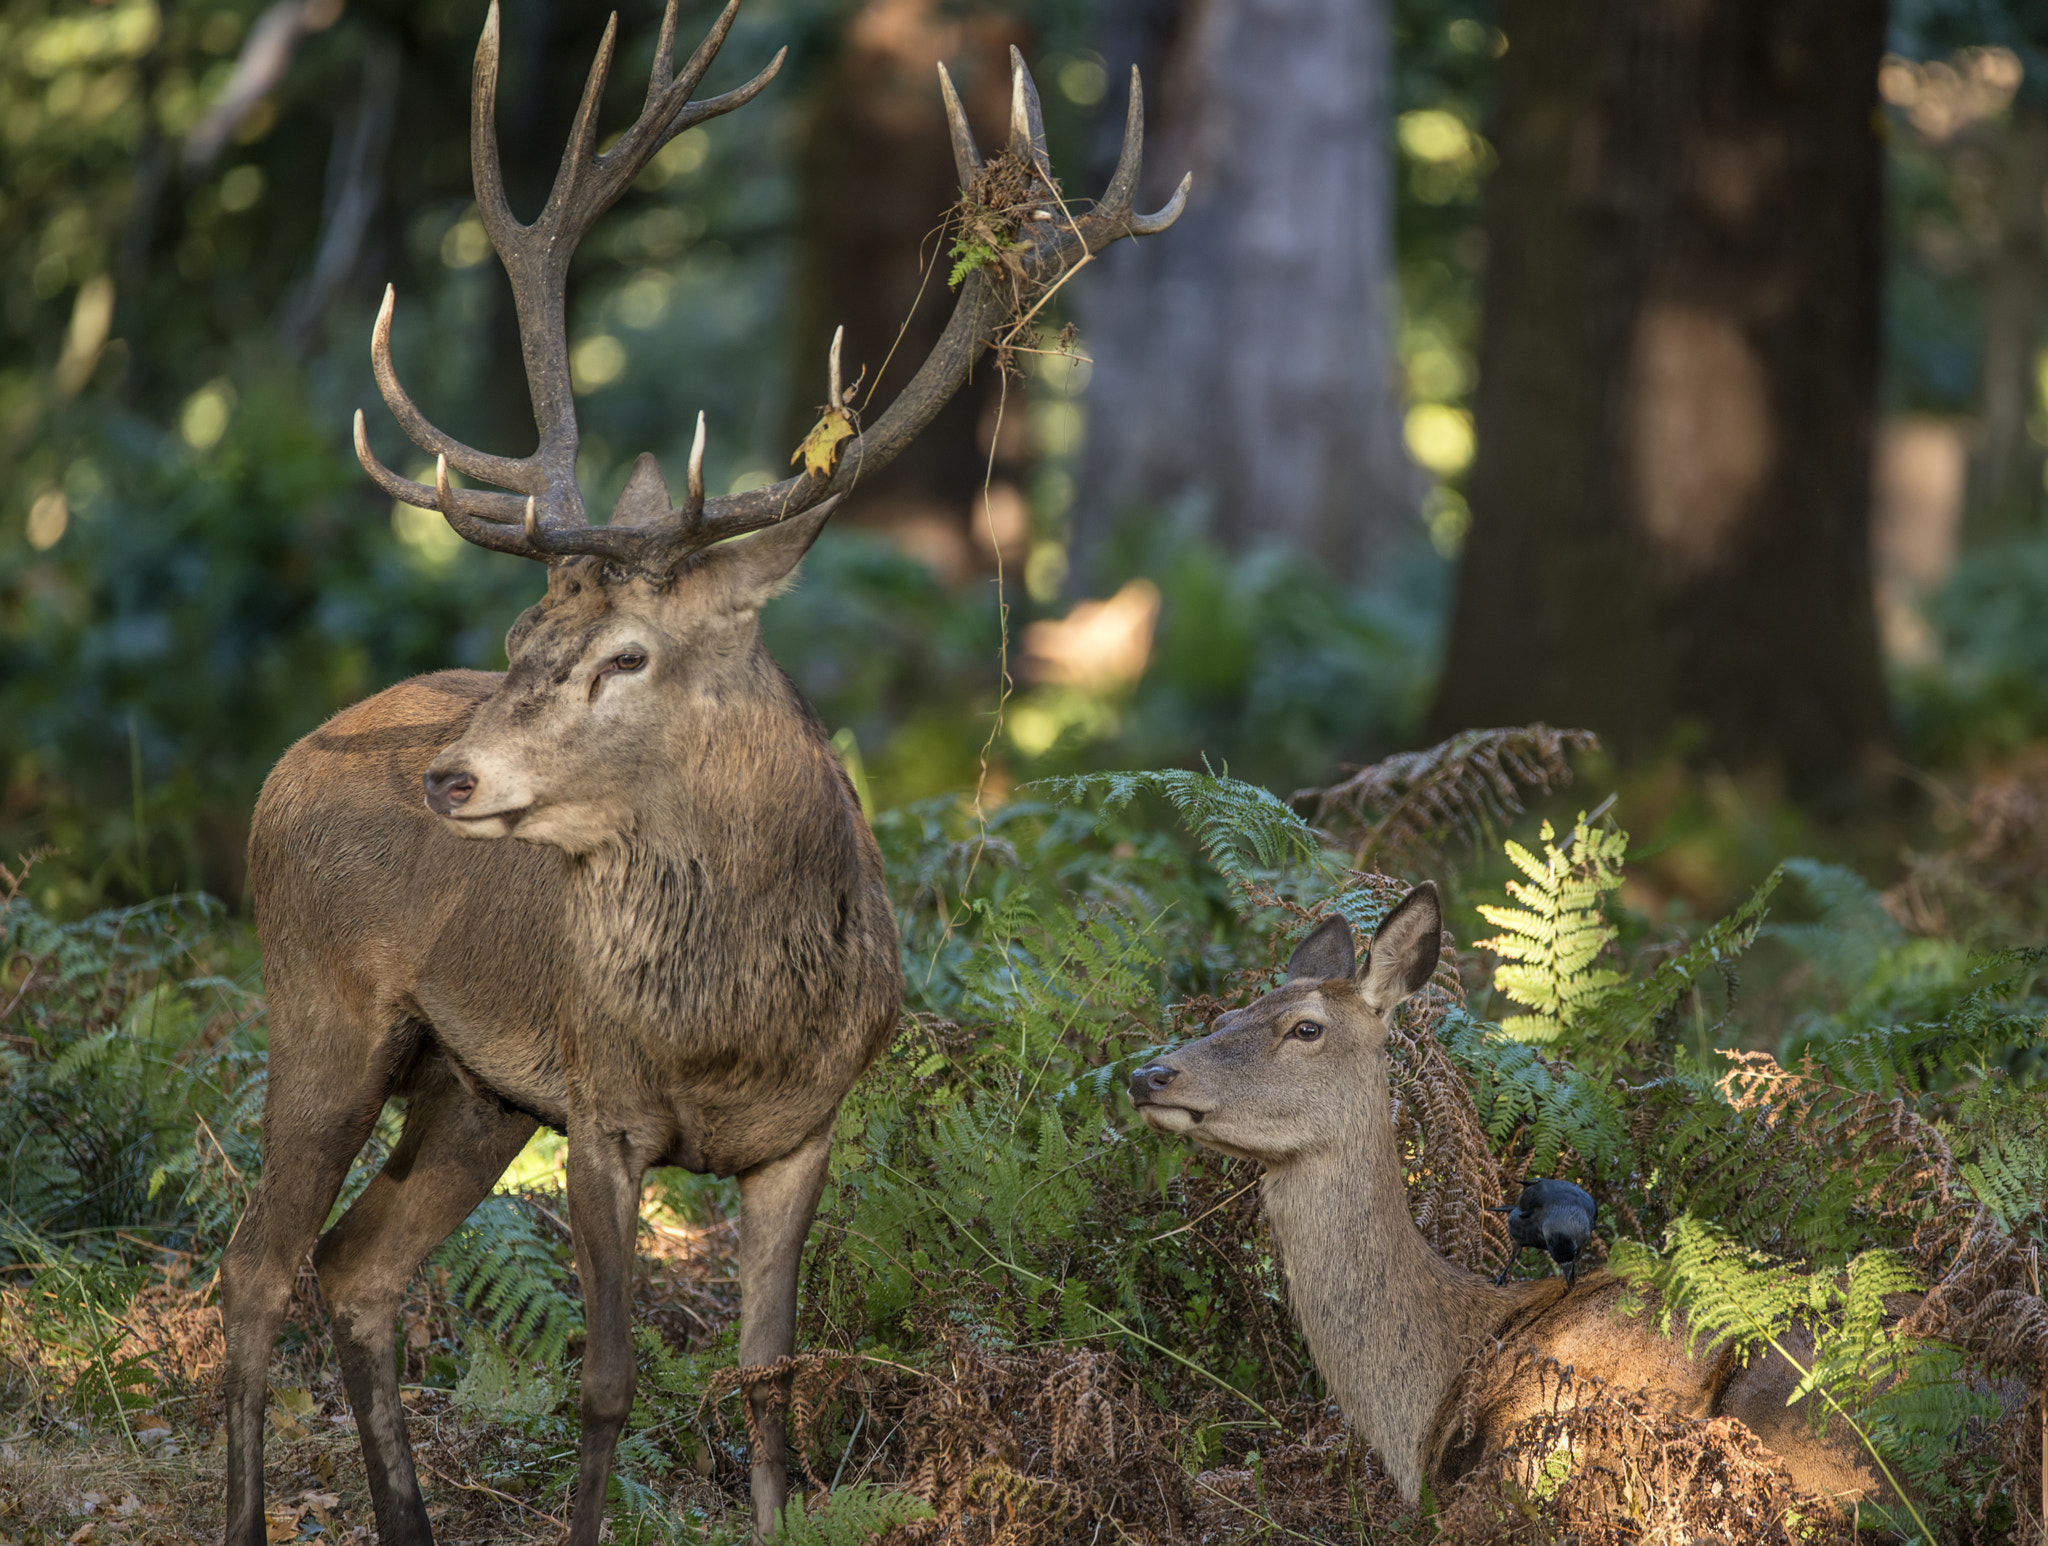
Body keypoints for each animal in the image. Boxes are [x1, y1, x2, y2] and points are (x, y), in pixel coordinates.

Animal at [218, 4, 1188, 1542]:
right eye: (519, 637)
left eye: (624, 654)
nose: (447, 778)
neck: (732, 1026)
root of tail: (295, 756)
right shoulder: (605, 1110)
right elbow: (607, 1382)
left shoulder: (806, 1131)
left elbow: (768, 1376)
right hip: (322, 999)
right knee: (256, 1263)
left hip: (474, 1086)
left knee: (359, 1263)